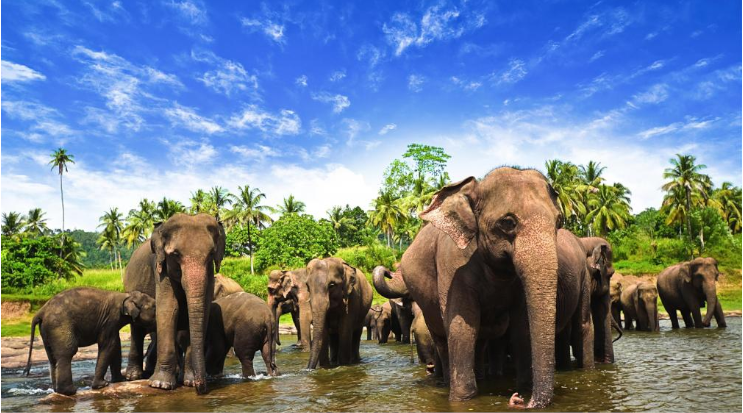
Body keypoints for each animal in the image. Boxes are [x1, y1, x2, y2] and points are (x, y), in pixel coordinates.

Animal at [22, 284, 155, 394]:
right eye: (154, 306)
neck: (126, 295)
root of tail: (41, 311)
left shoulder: (112, 324)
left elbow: (116, 345)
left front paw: (119, 380)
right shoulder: (110, 320)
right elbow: (109, 345)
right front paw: (101, 385)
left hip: (46, 331)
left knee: (52, 357)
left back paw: (57, 390)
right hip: (59, 325)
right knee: (67, 352)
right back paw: (70, 391)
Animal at [124, 212, 227, 392]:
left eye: (210, 254)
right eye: (176, 255)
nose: (202, 388)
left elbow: (201, 311)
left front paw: (189, 382)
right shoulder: (161, 269)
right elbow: (169, 309)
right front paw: (160, 385)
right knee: (137, 330)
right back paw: (134, 377)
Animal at [374, 167, 560, 406]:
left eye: (559, 222)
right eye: (508, 222)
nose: (519, 400)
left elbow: (522, 326)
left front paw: (525, 387)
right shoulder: (452, 264)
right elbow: (462, 325)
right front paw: (462, 399)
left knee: (479, 339)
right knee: (442, 338)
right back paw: (445, 382)